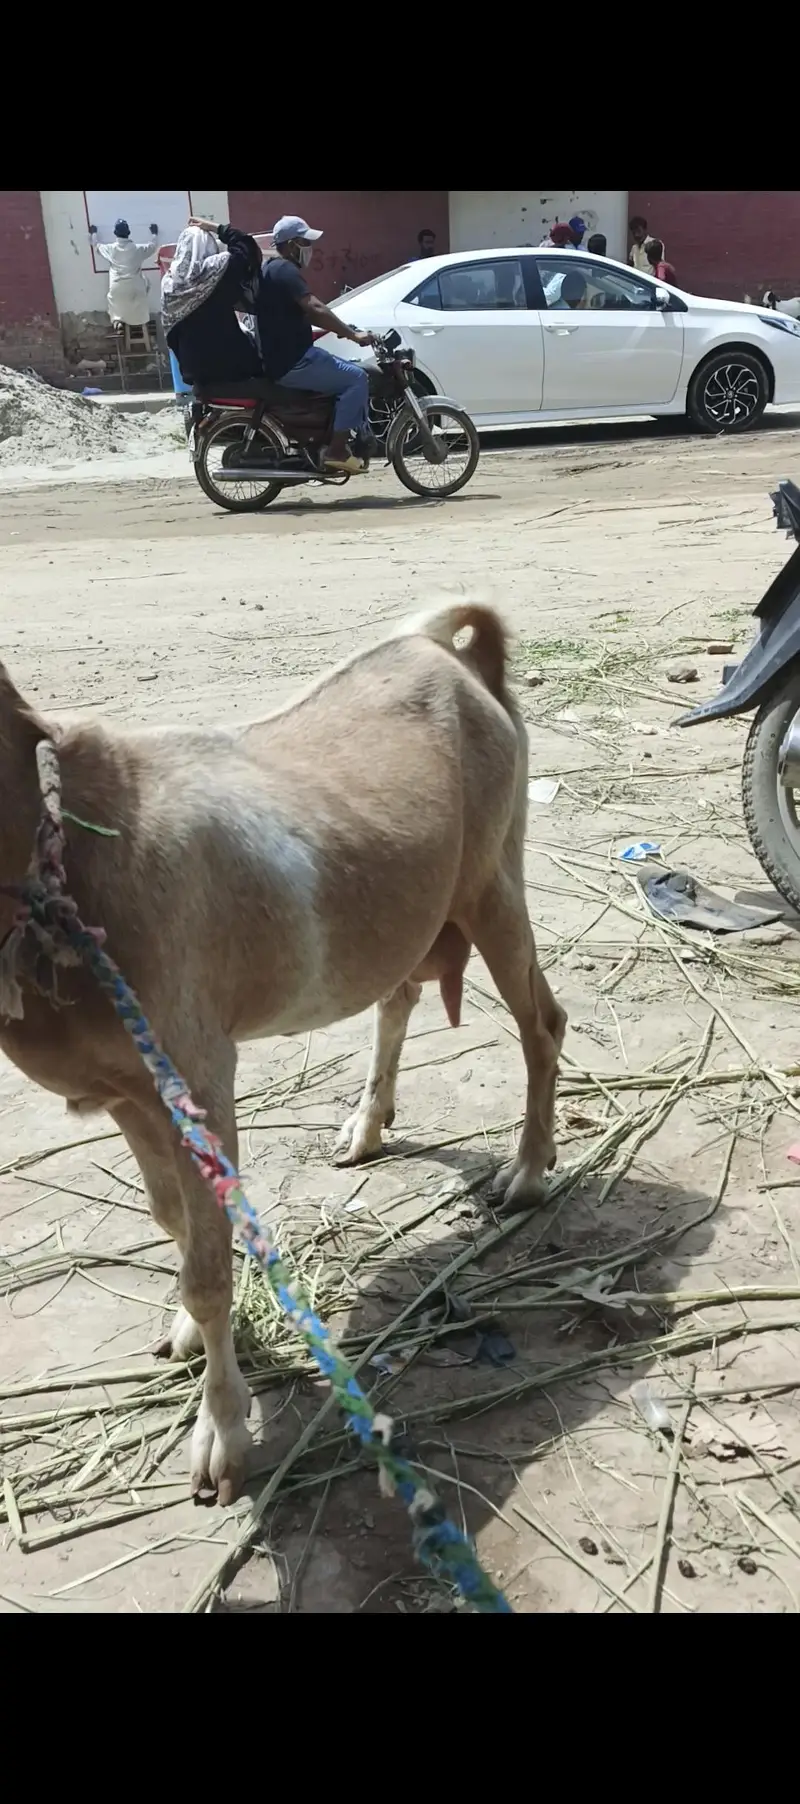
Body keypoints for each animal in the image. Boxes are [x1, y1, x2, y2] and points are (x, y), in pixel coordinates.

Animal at [0, 605, 566, 1504]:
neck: (69, 864)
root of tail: (447, 649)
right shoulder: (130, 1090)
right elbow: (175, 1225)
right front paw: (185, 1336)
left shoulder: (195, 1071)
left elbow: (207, 1265)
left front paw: (223, 1437)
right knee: (409, 997)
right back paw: (367, 1126)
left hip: (493, 880)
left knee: (542, 1024)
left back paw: (529, 1172)